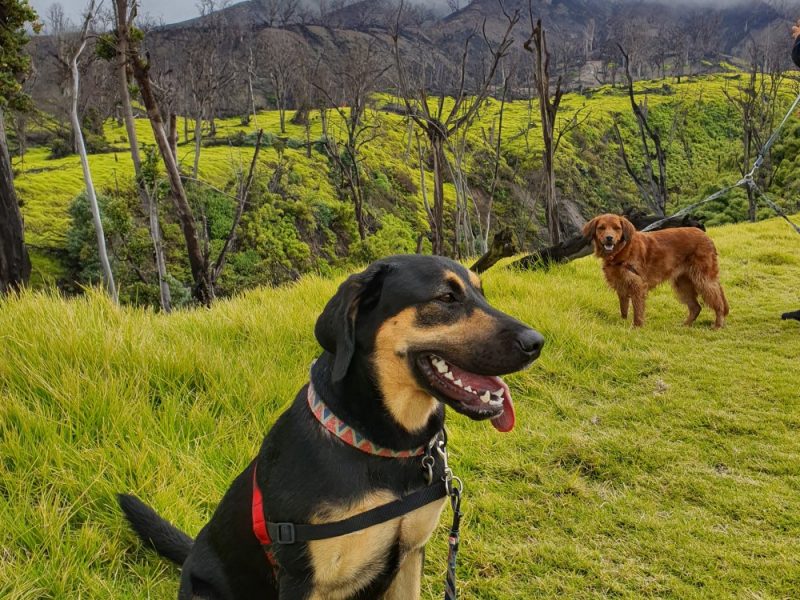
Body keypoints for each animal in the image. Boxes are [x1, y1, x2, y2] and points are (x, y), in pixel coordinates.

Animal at [119, 255, 544, 596]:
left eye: (481, 293)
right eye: (446, 298)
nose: (537, 342)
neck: (382, 445)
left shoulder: (411, 556)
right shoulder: (304, 578)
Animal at [580, 213, 732, 328]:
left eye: (617, 228)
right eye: (601, 228)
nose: (609, 238)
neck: (622, 251)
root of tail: (706, 236)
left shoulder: (637, 284)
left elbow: (637, 310)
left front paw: (637, 327)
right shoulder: (621, 285)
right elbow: (624, 309)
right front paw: (623, 323)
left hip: (703, 279)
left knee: (717, 302)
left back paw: (717, 325)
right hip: (683, 283)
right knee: (696, 307)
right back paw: (685, 325)